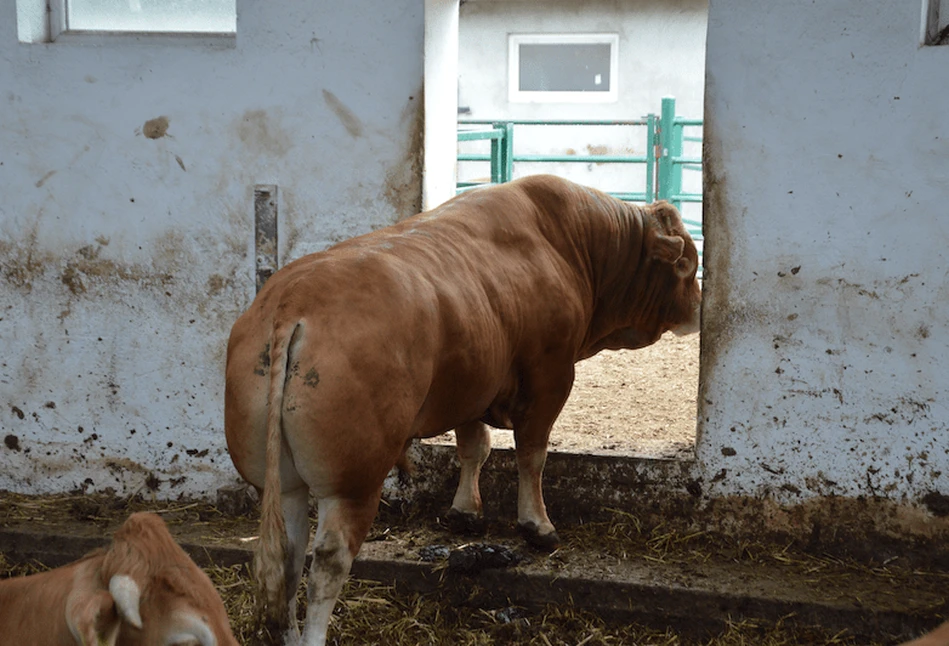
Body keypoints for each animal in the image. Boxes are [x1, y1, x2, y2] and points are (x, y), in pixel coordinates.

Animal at [224, 175, 704, 644]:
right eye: (687, 263)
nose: (698, 309)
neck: (567, 242)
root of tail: (293, 303)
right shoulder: (550, 376)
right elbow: (532, 454)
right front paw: (537, 525)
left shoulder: (473, 384)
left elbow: (475, 447)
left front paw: (465, 511)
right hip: (353, 485)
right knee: (327, 563)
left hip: (283, 483)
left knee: (287, 559)